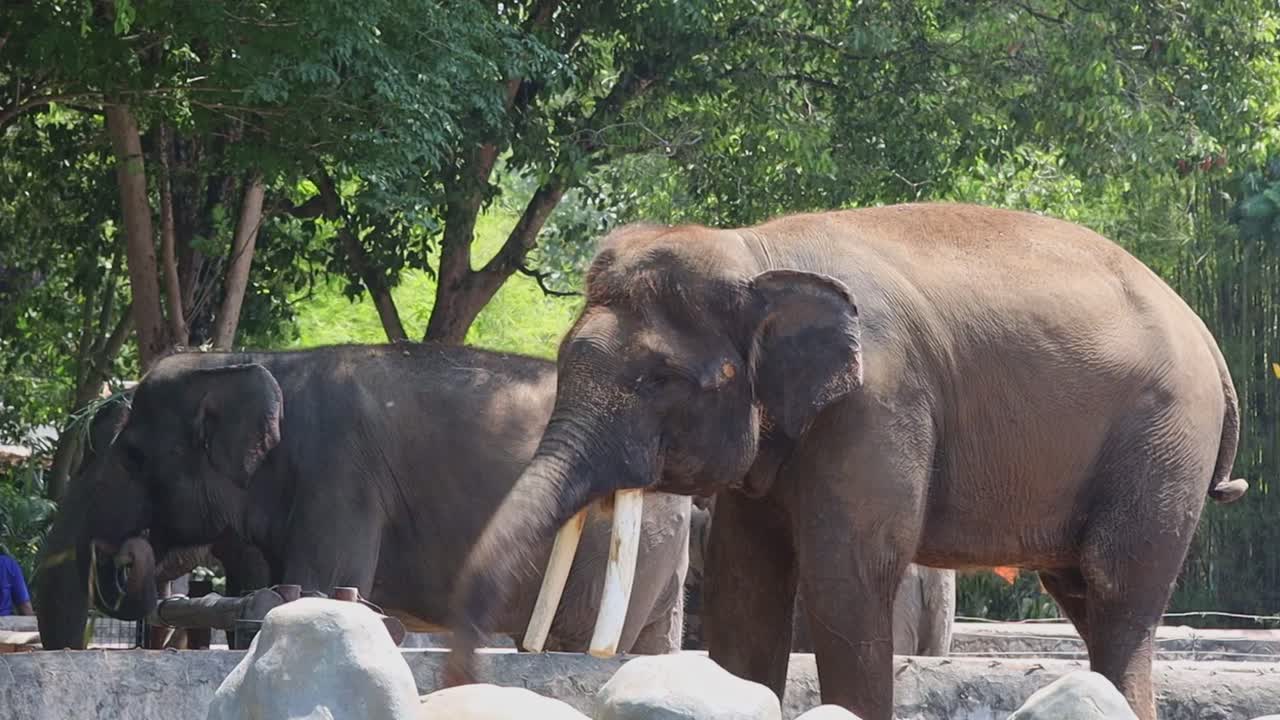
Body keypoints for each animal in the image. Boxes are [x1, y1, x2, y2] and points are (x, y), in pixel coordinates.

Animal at [37, 343, 690, 654]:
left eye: (133, 456)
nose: (124, 554)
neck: (258, 360)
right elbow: (272, 586)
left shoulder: (341, 474)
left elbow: (319, 585)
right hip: (658, 562)